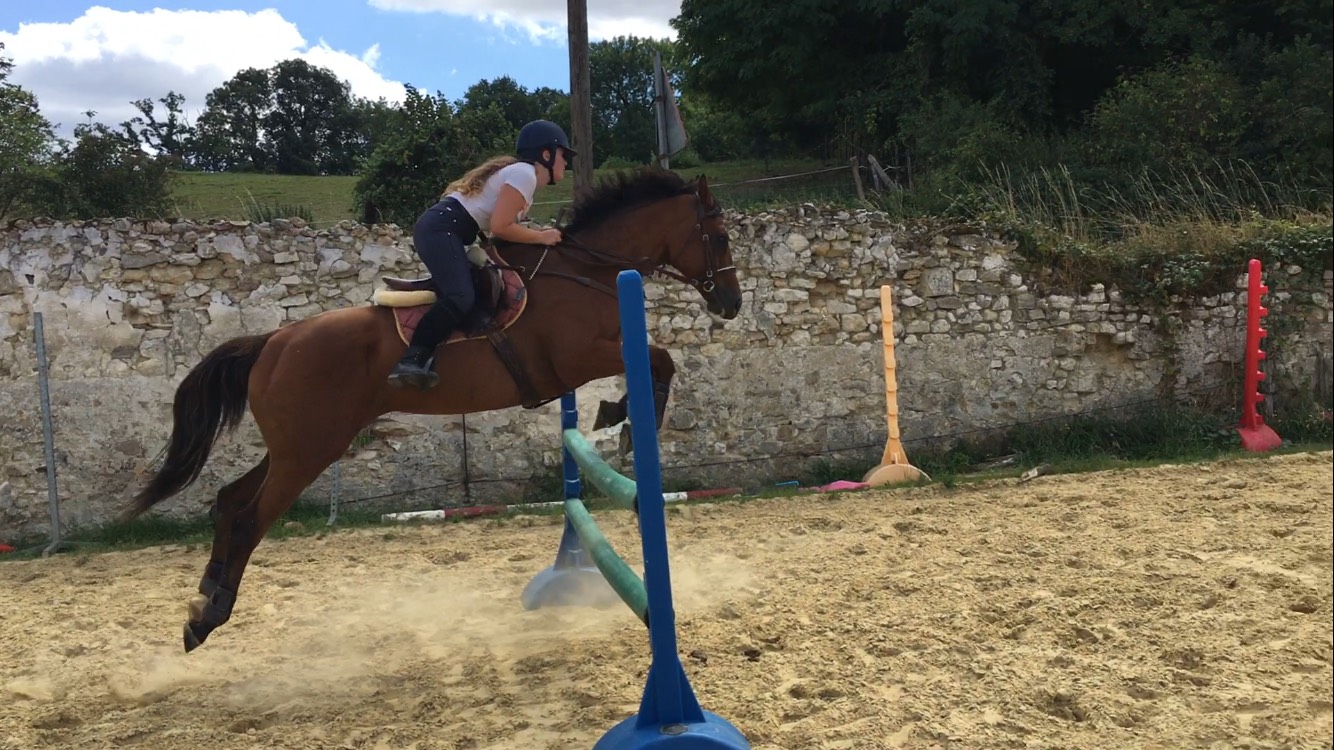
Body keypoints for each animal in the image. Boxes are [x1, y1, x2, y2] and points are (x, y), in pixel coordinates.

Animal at [126, 168, 747, 648]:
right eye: (718, 236)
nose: (732, 304)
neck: (586, 269)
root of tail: (272, 341)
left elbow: (656, 362)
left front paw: (616, 416)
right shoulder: (579, 356)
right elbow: (661, 359)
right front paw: (628, 421)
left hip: (296, 447)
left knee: (230, 502)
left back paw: (202, 602)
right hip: (309, 451)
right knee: (249, 518)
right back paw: (210, 616)